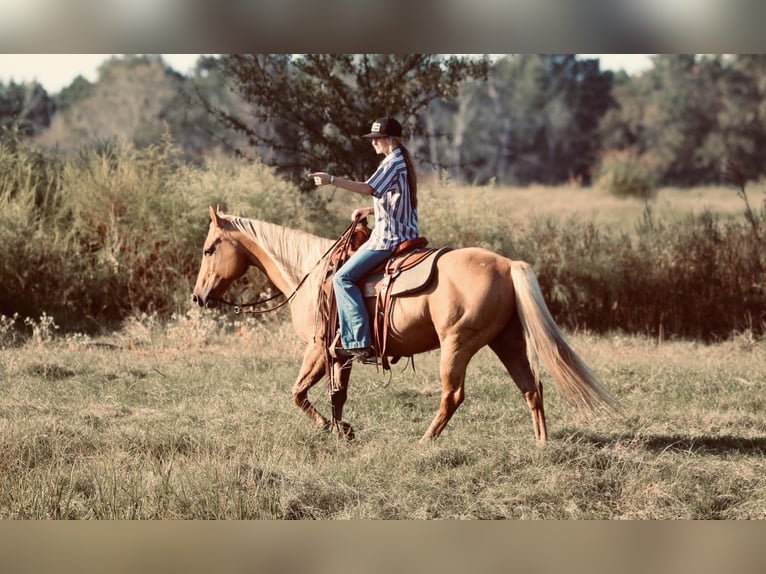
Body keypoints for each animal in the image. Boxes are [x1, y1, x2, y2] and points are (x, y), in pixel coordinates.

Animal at [192, 208, 616, 446]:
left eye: (209, 249)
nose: (198, 297)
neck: (312, 274)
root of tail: (506, 265)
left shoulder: (317, 349)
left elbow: (297, 394)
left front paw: (332, 430)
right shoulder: (340, 355)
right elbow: (337, 397)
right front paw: (343, 431)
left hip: (457, 344)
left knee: (453, 395)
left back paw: (425, 440)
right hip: (506, 341)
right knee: (531, 387)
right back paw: (541, 444)